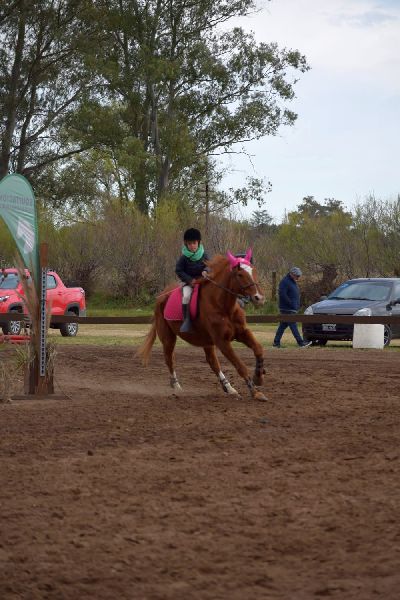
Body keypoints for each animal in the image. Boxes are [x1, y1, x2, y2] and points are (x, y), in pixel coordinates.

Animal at [136, 249, 267, 402]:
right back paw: (176, 385)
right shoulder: (222, 342)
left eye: (254, 271)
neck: (223, 306)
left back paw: (228, 388)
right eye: (240, 275)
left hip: (206, 342)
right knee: (170, 359)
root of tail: (161, 296)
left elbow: (258, 349)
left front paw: (258, 377)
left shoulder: (242, 333)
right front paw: (255, 391)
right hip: (169, 338)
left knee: (212, 362)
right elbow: (240, 365)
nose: (259, 298)